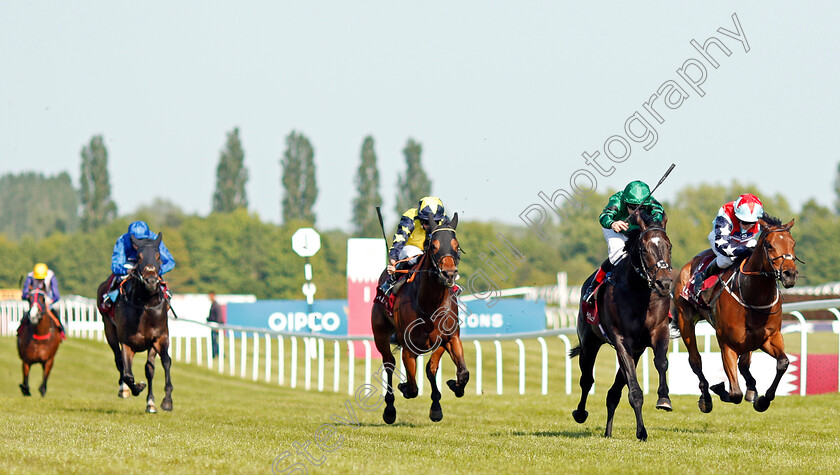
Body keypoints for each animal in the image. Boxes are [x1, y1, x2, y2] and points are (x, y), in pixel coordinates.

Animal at [96, 234, 173, 412]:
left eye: (158, 256)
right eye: (139, 257)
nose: (151, 281)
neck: (145, 306)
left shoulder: (159, 338)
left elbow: (164, 362)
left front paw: (166, 400)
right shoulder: (127, 342)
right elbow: (127, 374)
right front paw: (136, 387)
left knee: (149, 368)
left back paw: (150, 403)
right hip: (109, 329)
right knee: (119, 361)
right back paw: (124, 389)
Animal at [370, 214, 470, 426]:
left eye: (456, 246)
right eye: (434, 245)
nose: (449, 274)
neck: (430, 304)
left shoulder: (449, 338)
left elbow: (456, 372)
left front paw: (452, 389)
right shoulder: (409, 348)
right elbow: (413, 387)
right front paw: (404, 388)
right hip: (380, 334)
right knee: (389, 364)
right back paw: (389, 410)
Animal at [568, 212, 672, 442]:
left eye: (669, 246)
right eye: (644, 249)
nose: (664, 284)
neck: (639, 291)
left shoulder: (658, 332)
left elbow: (661, 362)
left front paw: (664, 399)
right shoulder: (622, 340)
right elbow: (634, 391)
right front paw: (641, 431)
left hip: (636, 351)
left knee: (613, 393)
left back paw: (608, 432)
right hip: (589, 343)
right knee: (586, 379)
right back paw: (580, 413)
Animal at [672, 217, 796, 412]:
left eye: (793, 244)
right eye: (769, 245)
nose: (790, 274)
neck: (754, 296)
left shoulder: (769, 337)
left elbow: (783, 363)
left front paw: (763, 399)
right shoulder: (727, 343)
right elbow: (735, 393)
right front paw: (719, 388)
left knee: (744, 364)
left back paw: (751, 389)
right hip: (686, 319)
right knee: (695, 360)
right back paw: (706, 398)